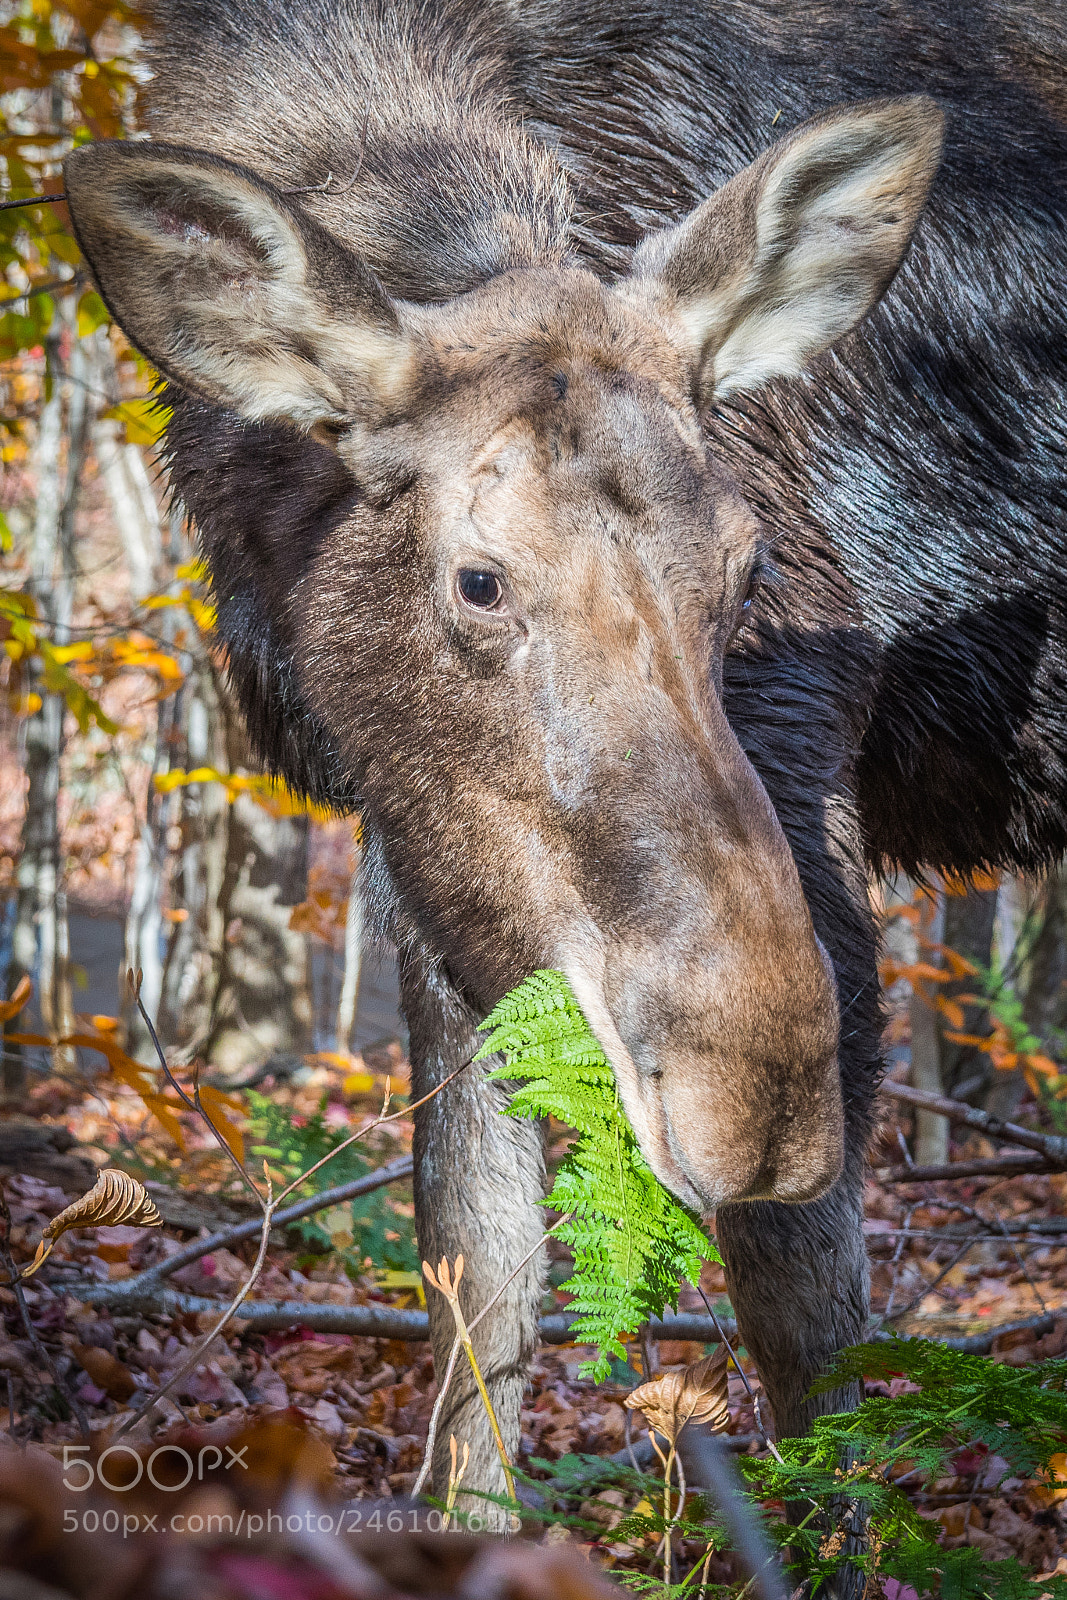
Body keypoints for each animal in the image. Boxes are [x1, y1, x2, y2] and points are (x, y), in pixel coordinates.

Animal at [62, 0, 1067, 1509]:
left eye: (745, 564)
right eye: (479, 582)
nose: (753, 1102)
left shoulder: (802, 710)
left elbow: (804, 1298)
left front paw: (829, 1526)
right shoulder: (415, 827)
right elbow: (475, 1263)